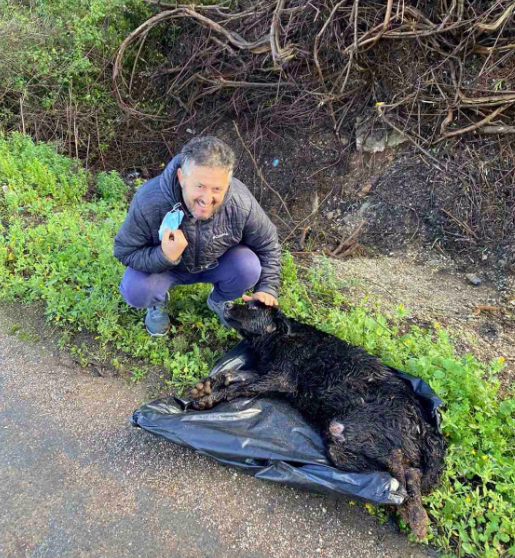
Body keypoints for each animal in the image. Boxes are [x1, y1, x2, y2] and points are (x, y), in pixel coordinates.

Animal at [190, 304, 448, 540]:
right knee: (402, 469)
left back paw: (416, 518)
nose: (226, 304)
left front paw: (209, 397)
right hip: (345, 442)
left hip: (363, 431)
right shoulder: (266, 373)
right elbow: (234, 376)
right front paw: (208, 384)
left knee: (403, 466)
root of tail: (423, 422)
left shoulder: (281, 379)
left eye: (253, 307)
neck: (278, 337)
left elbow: (236, 388)